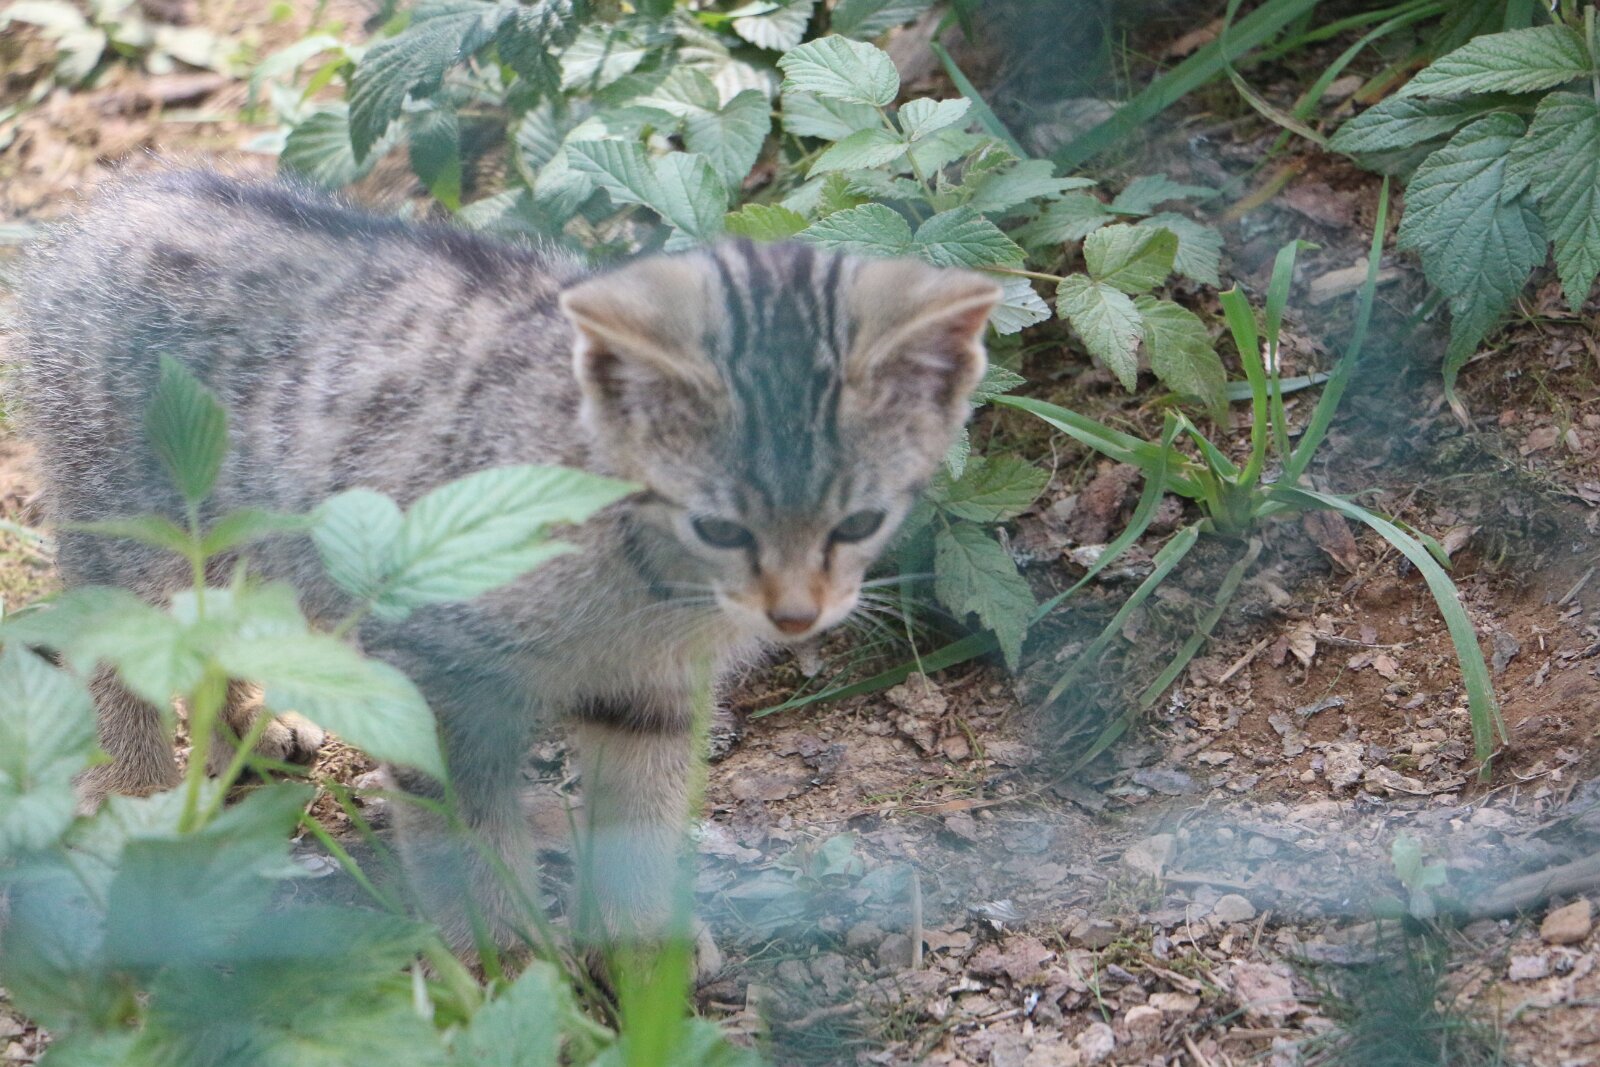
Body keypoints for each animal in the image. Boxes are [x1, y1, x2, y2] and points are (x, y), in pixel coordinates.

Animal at [7, 170, 1000, 963]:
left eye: (860, 520)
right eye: (717, 525)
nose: (797, 615)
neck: (648, 588)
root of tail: (113, 204)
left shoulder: (652, 694)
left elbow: (640, 817)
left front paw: (641, 953)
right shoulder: (440, 681)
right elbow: (466, 832)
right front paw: (505, 959)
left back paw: (254, 718)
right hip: (132, 527)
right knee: (121, 642)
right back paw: (139, 801)